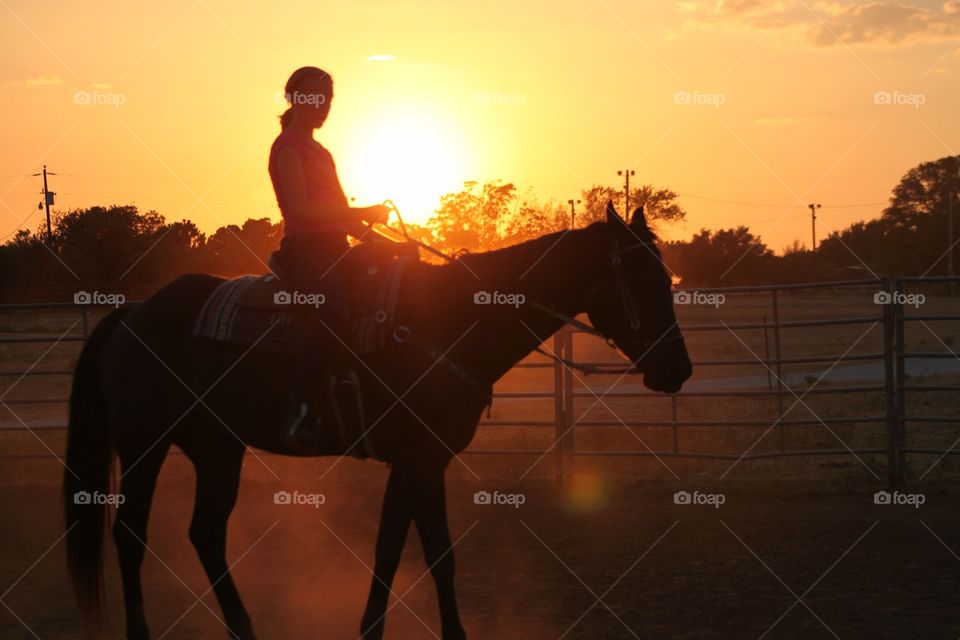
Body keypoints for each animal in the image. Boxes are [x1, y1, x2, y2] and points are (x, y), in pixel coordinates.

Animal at [62, 202, 692, 639]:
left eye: (668, 277)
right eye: (641, 280)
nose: (678, 368)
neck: (449, 321)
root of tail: (131, 314)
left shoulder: (424, 461)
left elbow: (418, 552)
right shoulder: (415, 460)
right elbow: (413, 552)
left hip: (218, 447)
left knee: (206, 533)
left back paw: (244, 627)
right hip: (145, 445)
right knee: (131, 534)